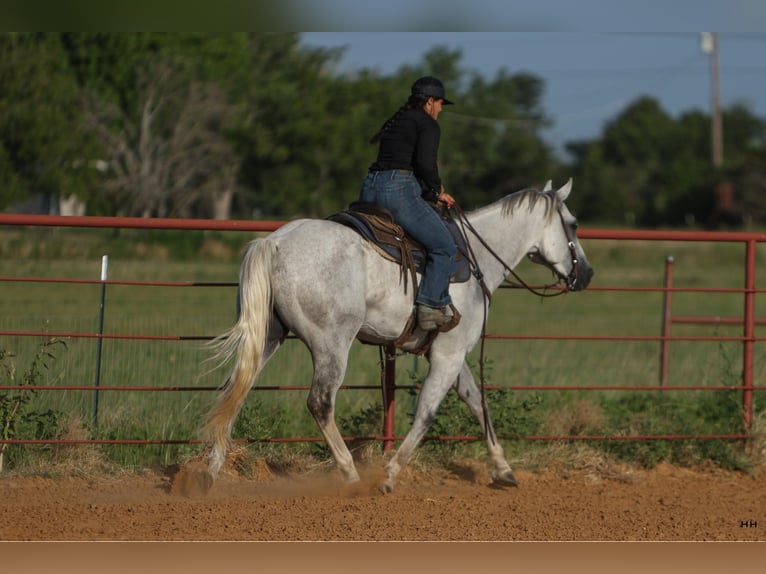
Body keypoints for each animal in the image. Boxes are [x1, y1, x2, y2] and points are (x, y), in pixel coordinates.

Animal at [201, 178, 593, 493]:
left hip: (267, 336)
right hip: (331, 345)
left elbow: (476, 401)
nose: (587, 274)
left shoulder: (450, 354)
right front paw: (389, 475)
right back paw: (351, 475)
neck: (477, 256)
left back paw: (210, 471)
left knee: (235, 389)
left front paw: (503, 469)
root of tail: (275, 243)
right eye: (574, 225)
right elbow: (427, 414)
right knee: (320, 403)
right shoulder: (448, 356)